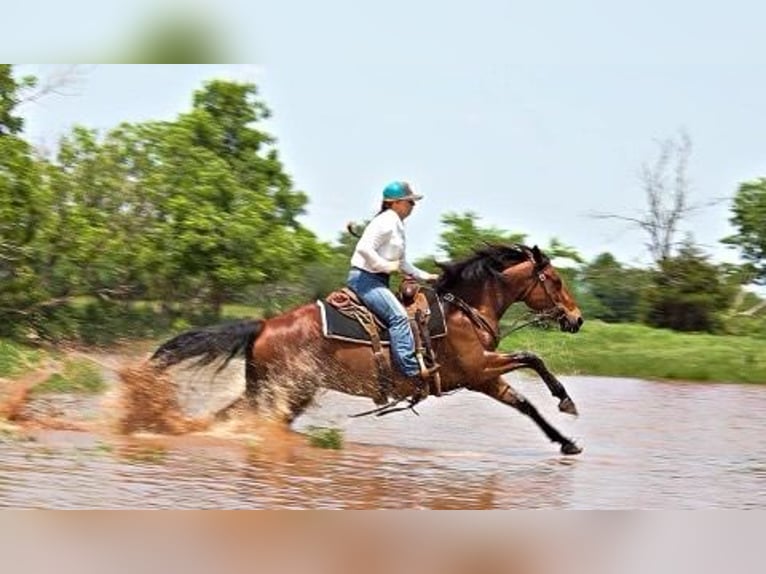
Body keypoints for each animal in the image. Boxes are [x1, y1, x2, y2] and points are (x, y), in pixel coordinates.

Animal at [146, 245, 588, 456]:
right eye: (555, 279)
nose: (577, 318)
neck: (465, 310)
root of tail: (264, 325)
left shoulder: (483, 378)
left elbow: (524, 404)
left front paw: (566, 440)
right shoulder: (478, 369)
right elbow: (532, 357)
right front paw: (566, 400)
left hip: (281, 391)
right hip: (284, 390)